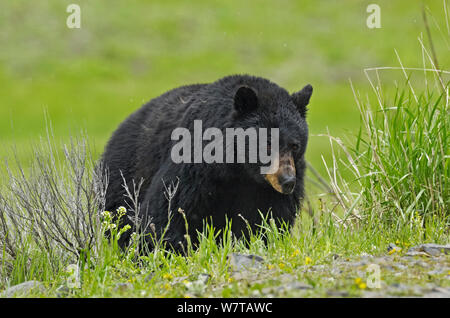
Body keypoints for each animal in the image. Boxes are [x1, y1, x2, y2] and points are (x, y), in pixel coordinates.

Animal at [102, 74, 312, 251]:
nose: (287, 181)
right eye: (267, 144)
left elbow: (269, 218)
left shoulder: (272, 186)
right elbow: (168, 209)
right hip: (123, 177)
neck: (238, 170)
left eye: (294, 145)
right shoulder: (195, 163)